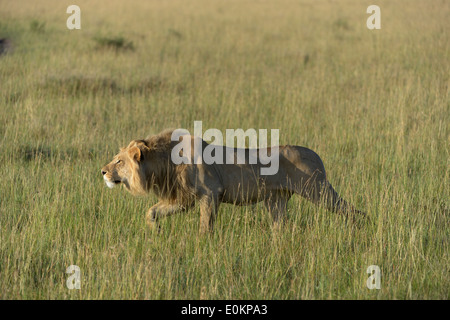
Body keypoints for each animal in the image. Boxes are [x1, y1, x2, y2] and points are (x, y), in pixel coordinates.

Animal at [101, 129, 366, 234]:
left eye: (119, 162)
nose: (102, 171)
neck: (165, 162)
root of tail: (315, 154)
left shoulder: (211, 193)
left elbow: (205, 226)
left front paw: (202, 246)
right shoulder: (185, 199)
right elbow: (152, 211)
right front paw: (156, 231)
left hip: (318, 191)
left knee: (352, 211)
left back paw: (358, 230)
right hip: (276, 200)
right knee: (280, 227)